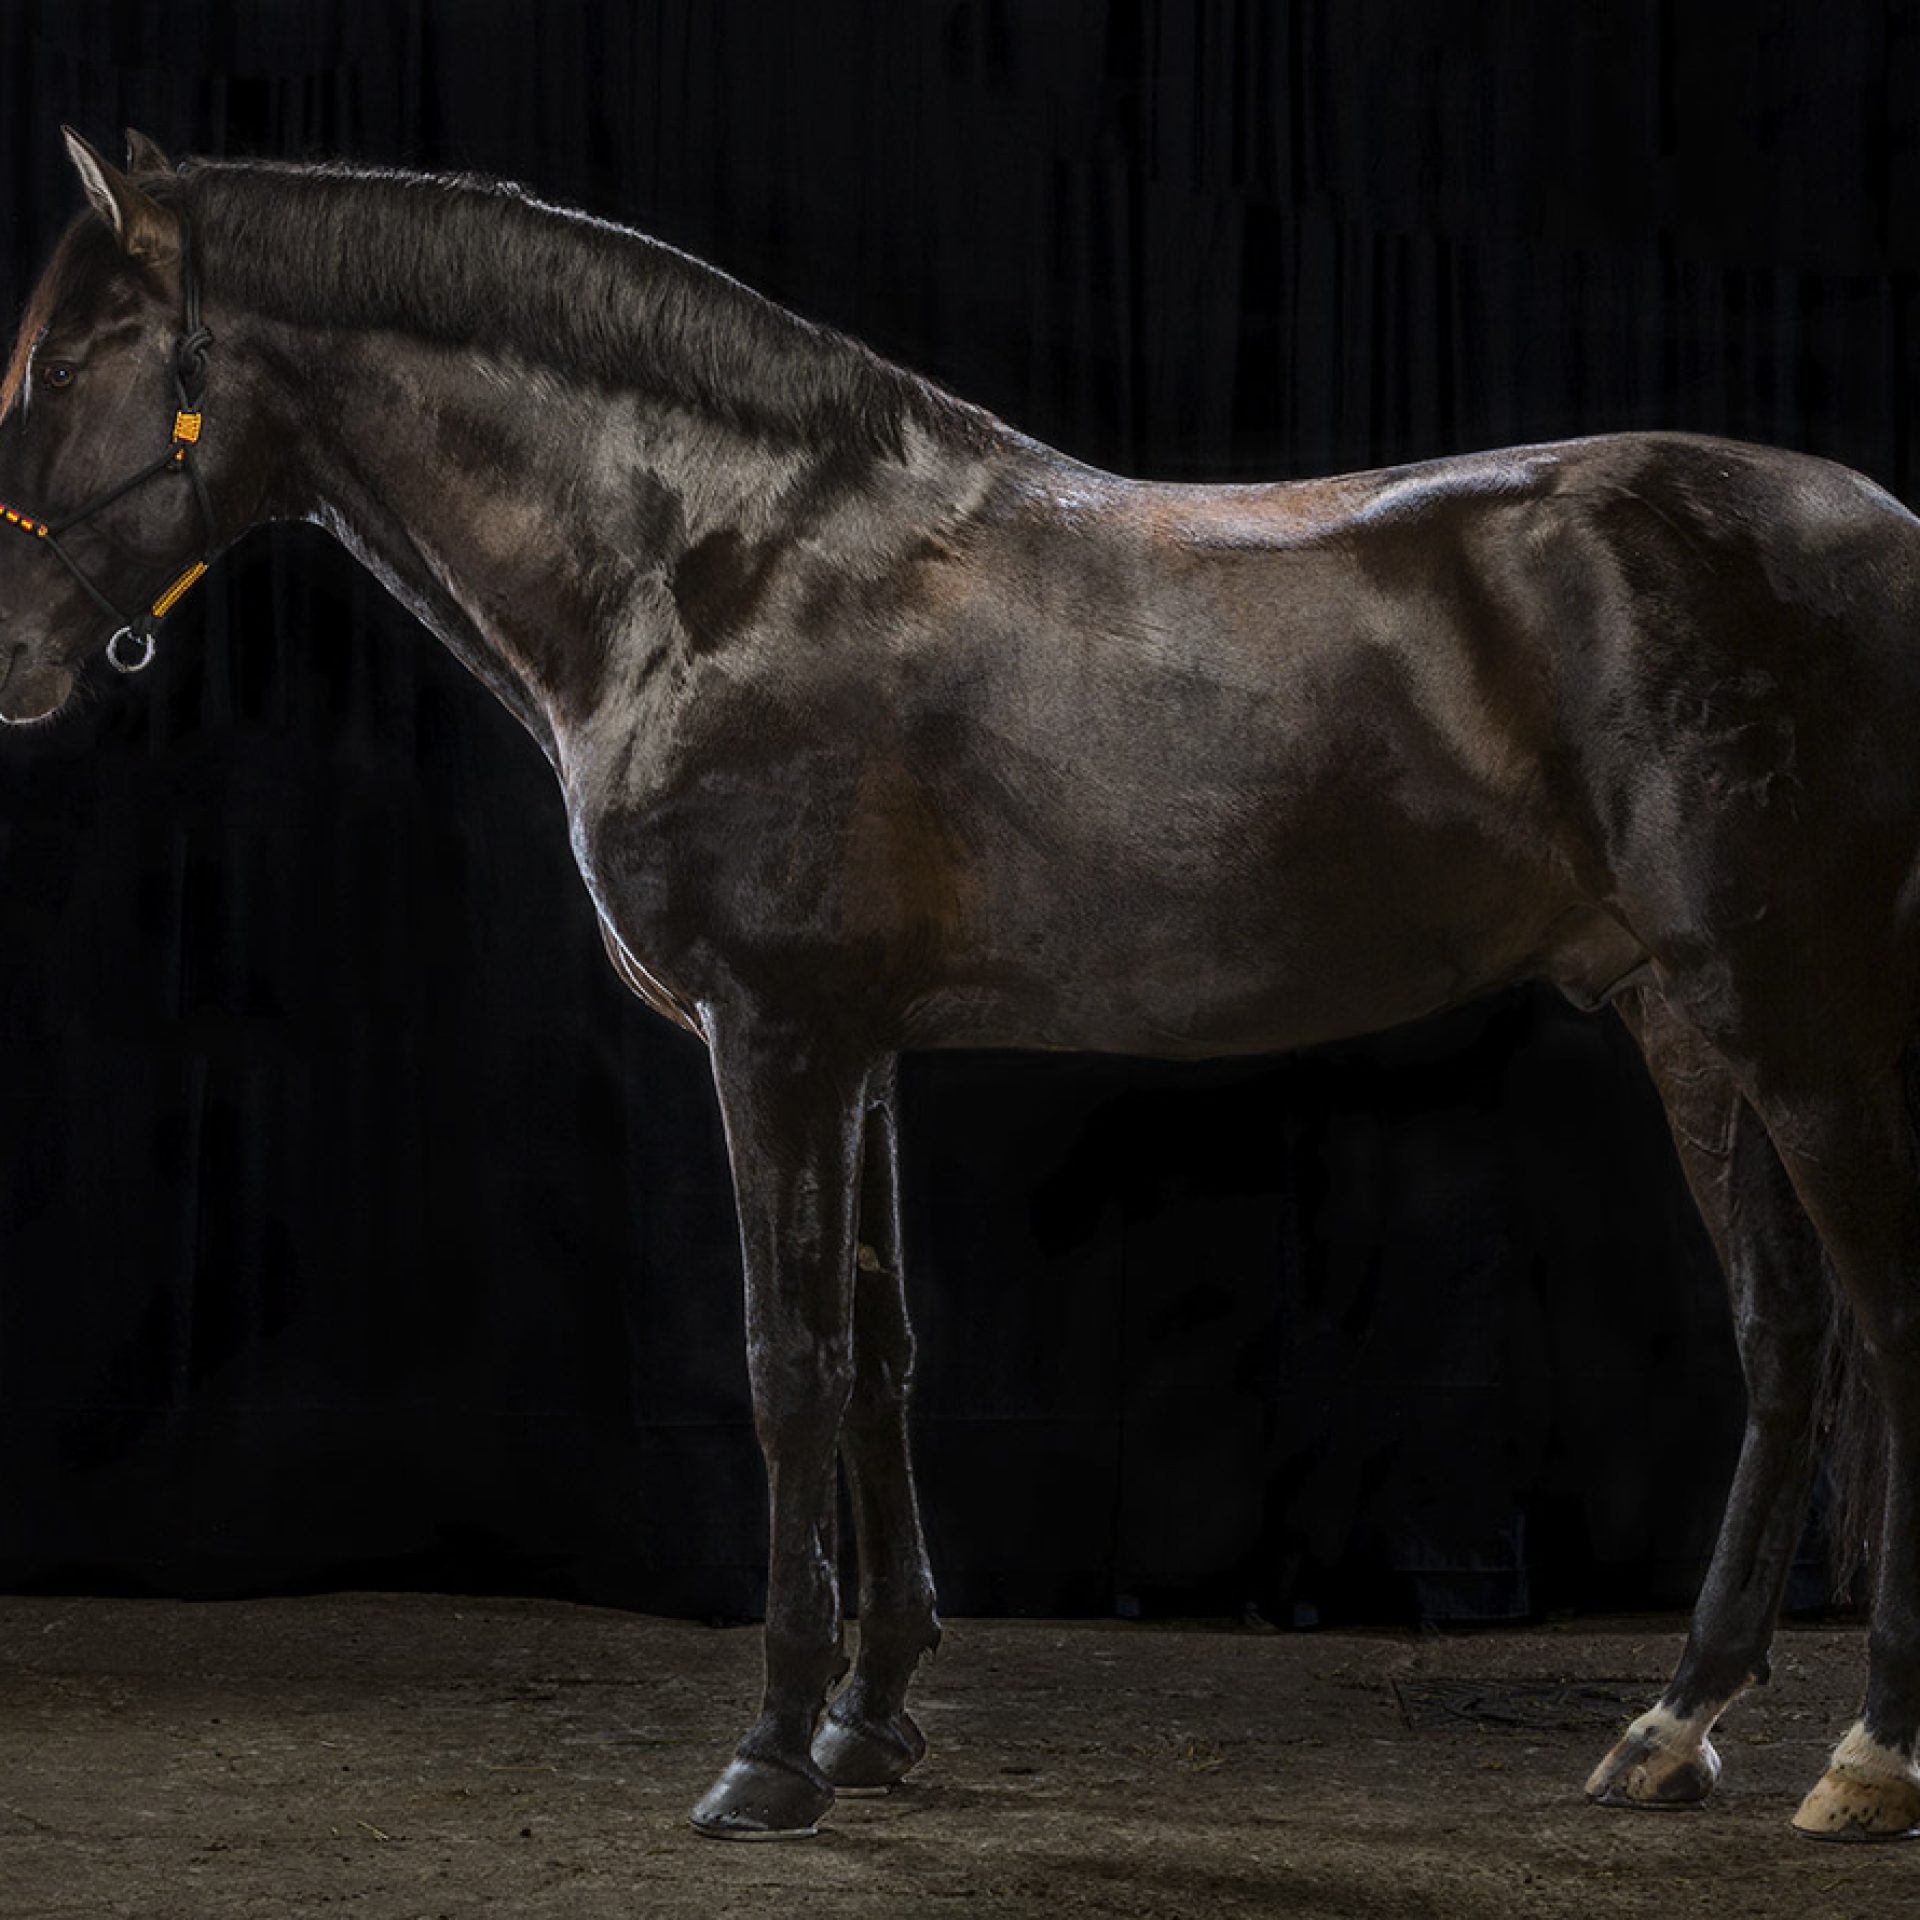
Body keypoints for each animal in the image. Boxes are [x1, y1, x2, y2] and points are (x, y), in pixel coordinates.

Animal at [5, 126, 1920, 1845]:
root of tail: (1885, 535)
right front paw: (871, 1718)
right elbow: (879, 1358)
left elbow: (787, 1363)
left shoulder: (771, 1036)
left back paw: (1867, 1758)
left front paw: (771, 1753)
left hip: (1799, 1013)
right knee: (1786, 1334)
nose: (11, 656)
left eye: (76, 363)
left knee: (1886, 1329)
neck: (711, 567)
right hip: (1688, 1018)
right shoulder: (855, 1050)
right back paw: (1675, 1726)